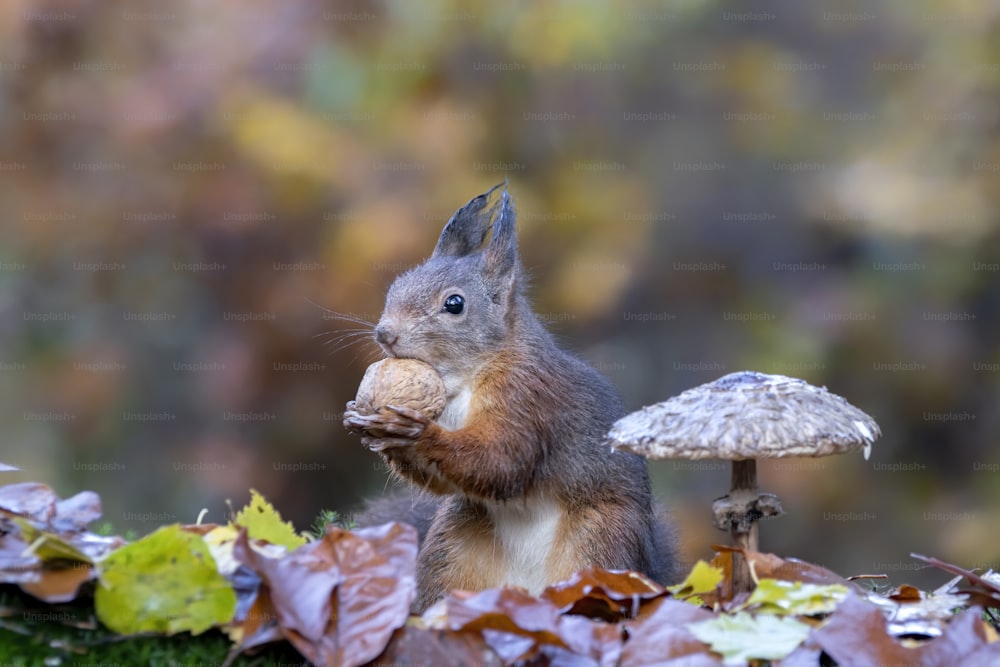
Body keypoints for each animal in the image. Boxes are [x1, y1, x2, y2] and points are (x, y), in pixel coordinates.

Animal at [344, 183, 680, 612]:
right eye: (396, 286)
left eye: (454, 304)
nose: (384, 334)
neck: (463, 379)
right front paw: (363, 421)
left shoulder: (528, 397)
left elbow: (502, 460)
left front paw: (415, 432)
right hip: (453, 545)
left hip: (600, 541)